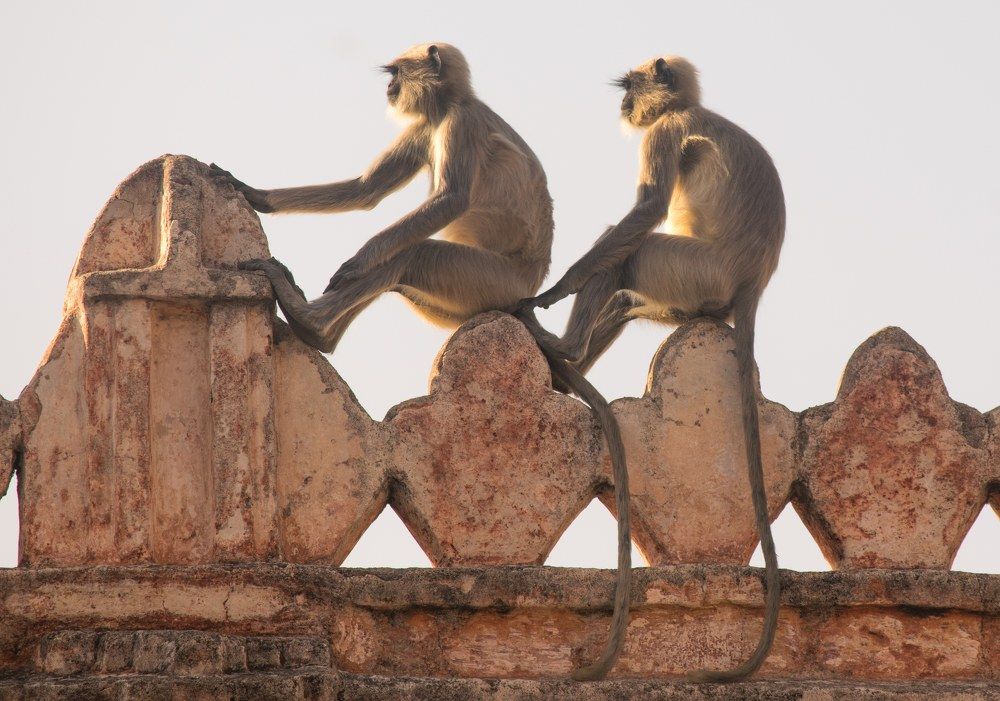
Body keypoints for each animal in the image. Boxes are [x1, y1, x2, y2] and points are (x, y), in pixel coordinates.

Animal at [210, 43, 635, 682]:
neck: (452, 102)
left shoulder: (455, 125)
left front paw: (355, 256)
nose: (388, 91)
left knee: (410, 252)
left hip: (480, 281)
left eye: (395, 74)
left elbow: (447, 202)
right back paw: (318, 330)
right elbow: (365, 189)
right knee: (400, 264)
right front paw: (252, 192)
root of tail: (526, 290)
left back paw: (312, 317)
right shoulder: (426, 125)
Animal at [519, 56, 785, 682]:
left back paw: (564, 349)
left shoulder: (665, 132)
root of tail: (752, 281)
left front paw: (558, 288)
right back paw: (565, 367)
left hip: (693, 269)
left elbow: (645, 210)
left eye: (629, 88)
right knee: (626, 294)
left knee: (633, 251)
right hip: (695, 293)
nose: (622, 106)